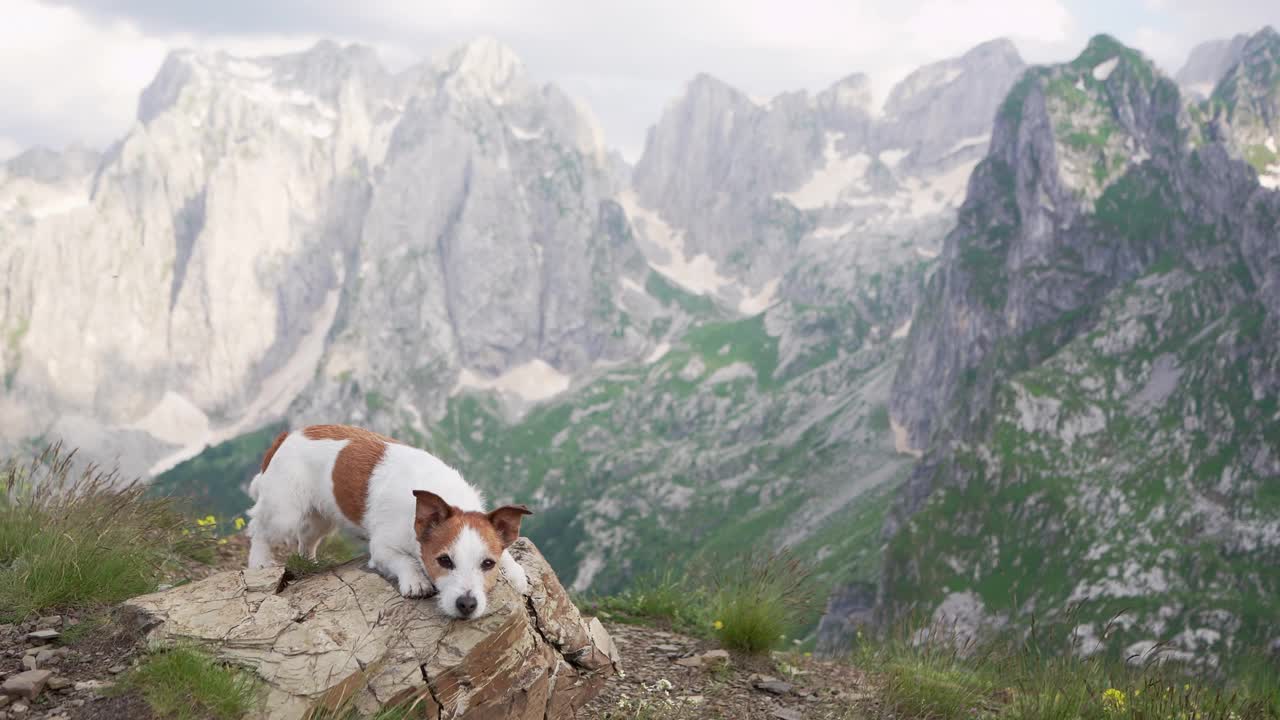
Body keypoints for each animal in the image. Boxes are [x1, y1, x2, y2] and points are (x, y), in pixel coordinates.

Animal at [244, 422, 529, 620]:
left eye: (487, 563)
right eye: (444, 561)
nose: (467, 604)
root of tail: (286, 437)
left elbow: (506, 553)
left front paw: (515, 572)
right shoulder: (381, 549)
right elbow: (403, 560)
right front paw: (416, 580)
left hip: (320, 518)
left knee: (306, 541)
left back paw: (310, 564)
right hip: (284, 513)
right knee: (259, 528)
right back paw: (260, 562)